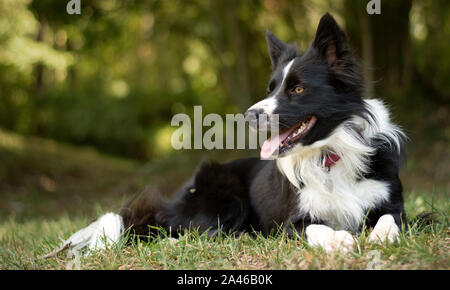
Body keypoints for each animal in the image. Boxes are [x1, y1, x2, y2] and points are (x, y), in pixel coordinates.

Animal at [61, 13, 406, 254]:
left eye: (297, 89)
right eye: (270, 89)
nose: (249, 115)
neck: (329, 153)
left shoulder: (393, 205)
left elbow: (390, 218)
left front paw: (381, 235)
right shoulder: (290, 223)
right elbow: (315, 228)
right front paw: (339, 240)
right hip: (225, 195)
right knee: (179, 229)